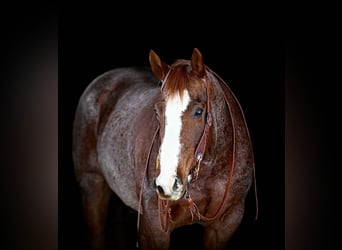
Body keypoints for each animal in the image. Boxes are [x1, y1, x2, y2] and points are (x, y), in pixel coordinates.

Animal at [72, 47, 255, 249]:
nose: (167, 183)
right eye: (157, 112)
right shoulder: (154, 227)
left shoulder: (225, 224)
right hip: (92, 185)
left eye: (198, 112)